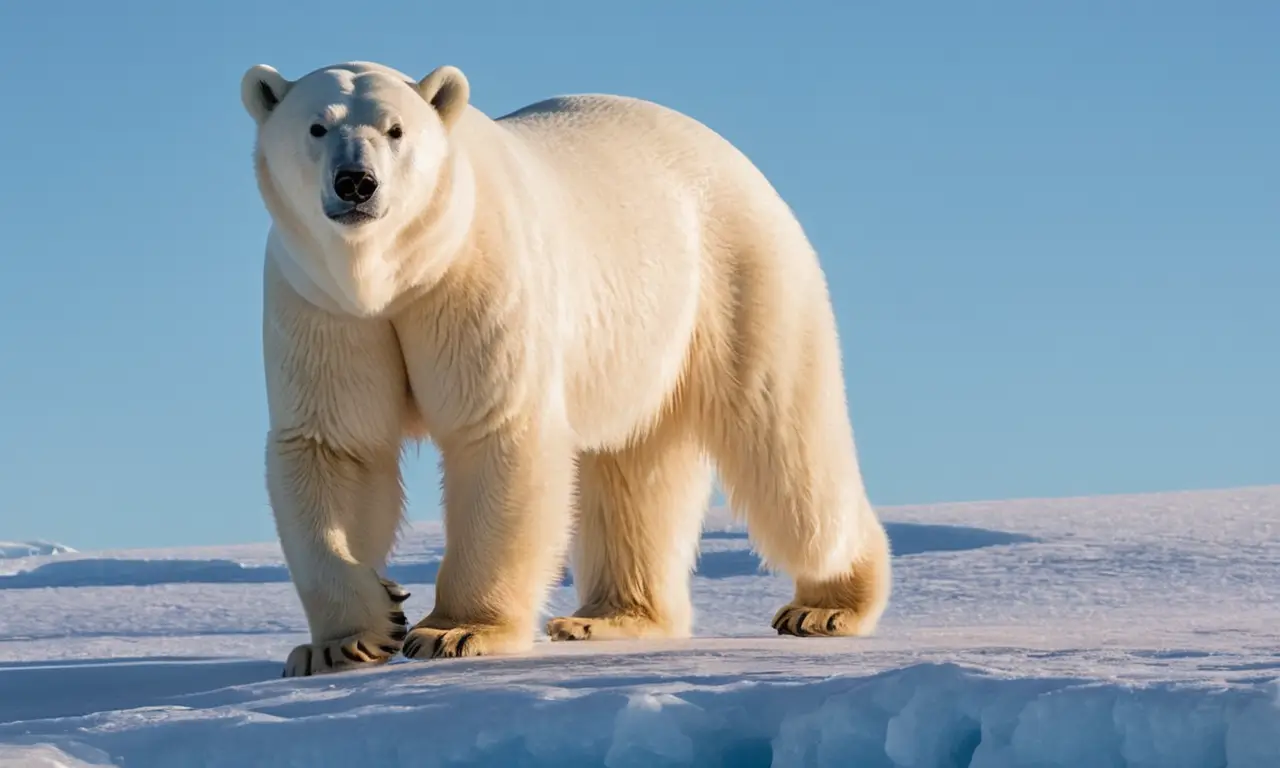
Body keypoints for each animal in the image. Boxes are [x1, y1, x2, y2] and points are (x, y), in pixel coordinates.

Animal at [239, 60, 892, 677]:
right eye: (317, 126)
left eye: (395, 129)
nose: (357, 183)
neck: (398, 274)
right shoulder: (322, 303)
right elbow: (336, 445)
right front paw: (347, 638)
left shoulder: (476, 279)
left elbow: (497, 431)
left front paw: (457, 631)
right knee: (634, 471)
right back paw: (608, 618)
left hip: (739, 276)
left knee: (784, 451)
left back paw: (826, 607)